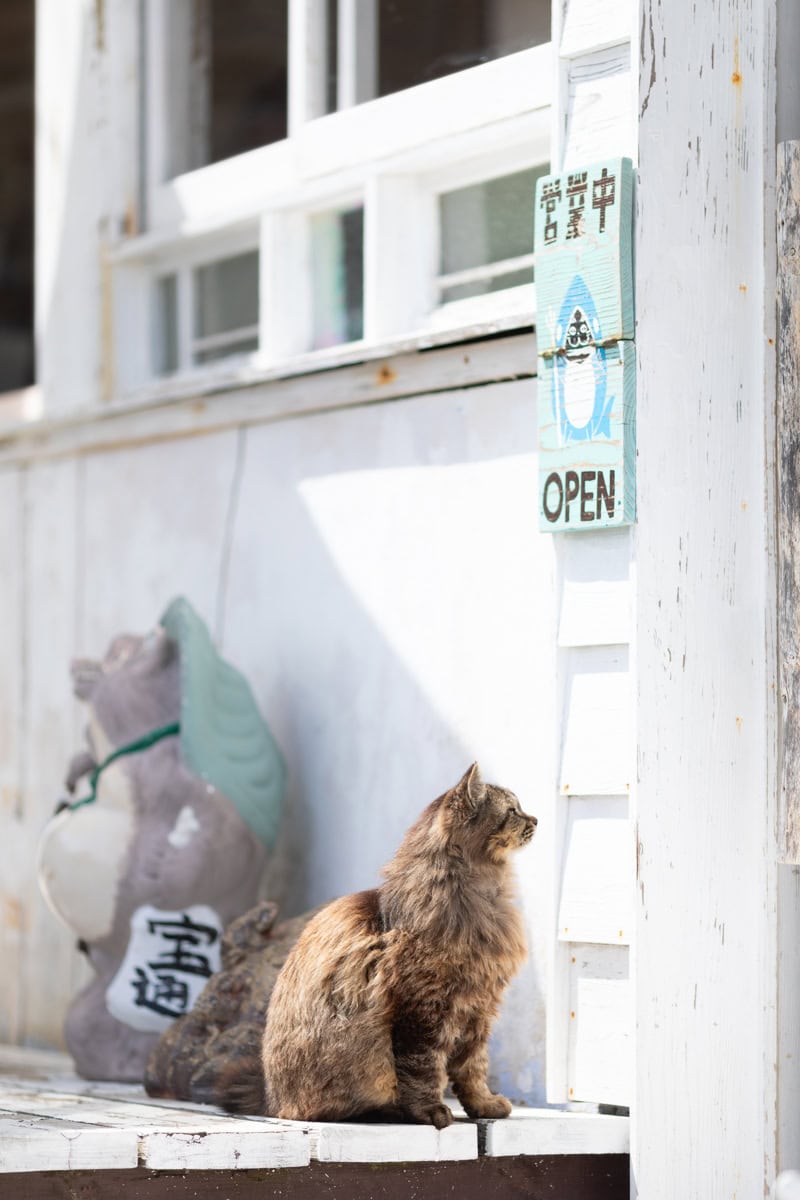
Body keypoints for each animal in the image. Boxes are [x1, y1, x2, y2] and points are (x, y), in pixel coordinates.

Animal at [226, 763, 537, 1118]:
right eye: (513, 811)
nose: (535, 820)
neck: (484, 897)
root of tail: (271, 1101)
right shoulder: (423, 1010)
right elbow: (424, 1068)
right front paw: (432, 1113)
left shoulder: (479, 1006)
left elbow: (473, 1068)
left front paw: (484, 1105)